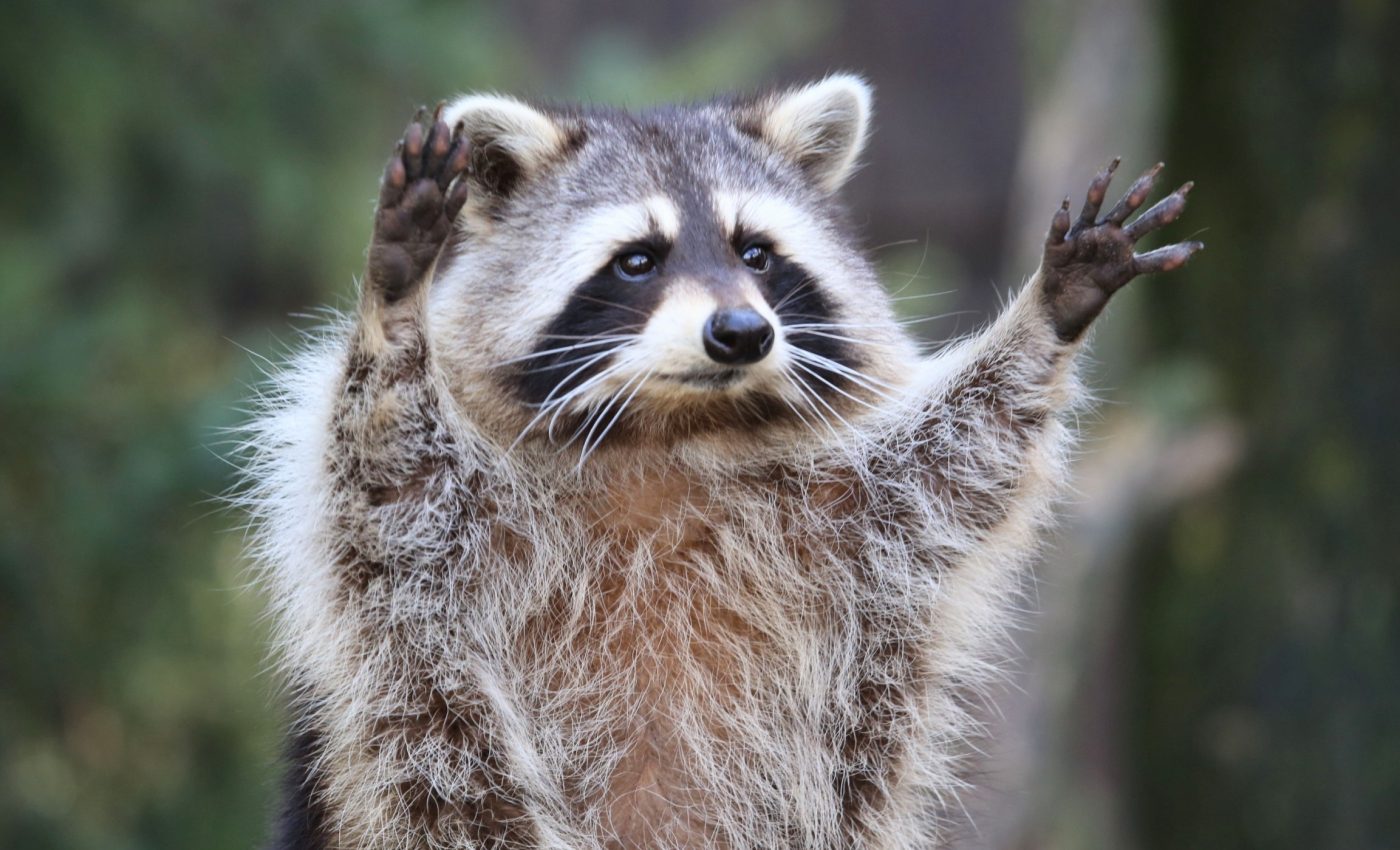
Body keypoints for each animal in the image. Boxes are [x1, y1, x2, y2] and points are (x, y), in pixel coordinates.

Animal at [243, 75, 1200, 850]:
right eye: (637, 260)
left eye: (756, 253)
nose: (741, 333)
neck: (673, 430)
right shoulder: (443, 539)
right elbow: (386, 465)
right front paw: (396, 298)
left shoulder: (856, 511)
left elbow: (967, 453)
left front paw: (1048, 313)